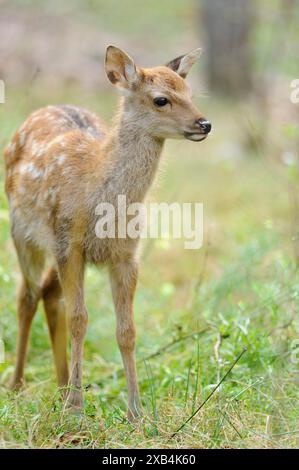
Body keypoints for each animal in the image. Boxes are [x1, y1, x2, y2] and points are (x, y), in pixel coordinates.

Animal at [4, 46, 211, 420]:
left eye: (189, 93)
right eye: (161, 99)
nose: (205, 124)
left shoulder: (127, 255)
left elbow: (126, 331)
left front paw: (136, 413)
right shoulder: (68, 244)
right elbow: (79, 319)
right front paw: (77, 411)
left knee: (48, 295)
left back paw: (61, 385)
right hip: (24, 233)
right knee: (26, 296)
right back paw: (18, 385)